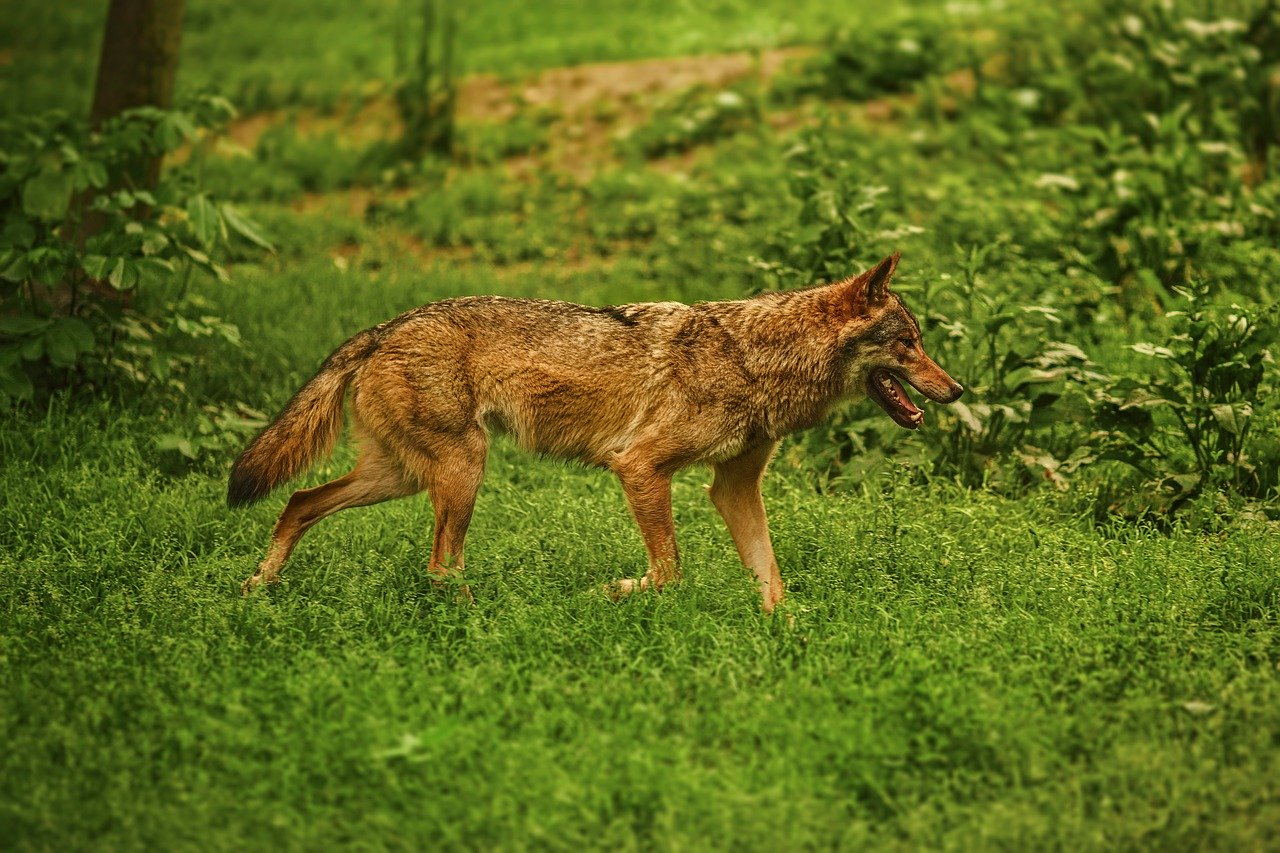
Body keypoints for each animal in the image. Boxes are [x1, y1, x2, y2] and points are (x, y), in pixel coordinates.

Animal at [227, 252, 962, 612]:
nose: (957, 391)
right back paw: (485, 616)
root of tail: (385, 327)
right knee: (439, 566)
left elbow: (771, 580)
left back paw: (256, 591)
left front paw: (788, 638)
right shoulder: (639, 466)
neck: (754, 360)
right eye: (909, 344)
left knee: (299, 503)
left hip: (404, 477)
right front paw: (609, 594)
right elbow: (669, 573)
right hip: (461, 472)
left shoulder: (732, 489)